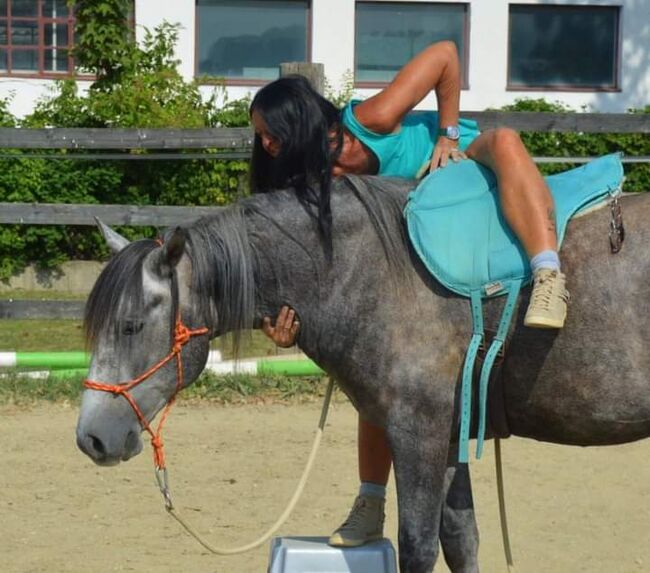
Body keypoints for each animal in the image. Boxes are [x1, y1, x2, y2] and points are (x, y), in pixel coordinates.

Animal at [76, 175, 648, 572]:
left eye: (130, 325)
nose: (91, 438)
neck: (382, 272)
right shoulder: (449, 436)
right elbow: (461, 538)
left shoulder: (418, 435)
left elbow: (418, 545)